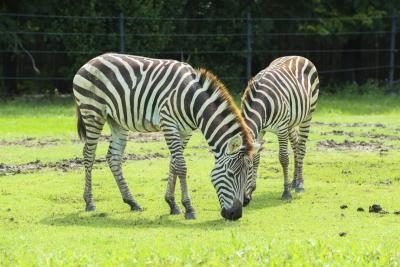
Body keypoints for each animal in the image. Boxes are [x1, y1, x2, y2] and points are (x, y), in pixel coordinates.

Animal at [72, 52, 253, 222]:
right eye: (230, 174)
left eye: (247, 175)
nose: (235, 214)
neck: (192, 102)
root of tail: (92, 60)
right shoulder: (168, 123)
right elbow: (181, 165)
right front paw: (188, 208)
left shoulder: (185, 131)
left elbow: (173, 163)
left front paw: (172, 204)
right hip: (92, 112)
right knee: (88, 155)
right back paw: (89, 202)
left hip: (116, 121)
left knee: (113, 157)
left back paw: (132, 202)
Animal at [241, 55, 318, 204]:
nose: (244, 200)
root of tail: (298, 56)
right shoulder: (260, 131)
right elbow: (257, 158)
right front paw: (252, 189)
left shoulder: (281, 128)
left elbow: (283, 158)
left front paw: (286, 192)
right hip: (291, 122)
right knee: (296, 145)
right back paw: (294, 182)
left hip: (307, 114)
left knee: (301, 148)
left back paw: (299, 184)